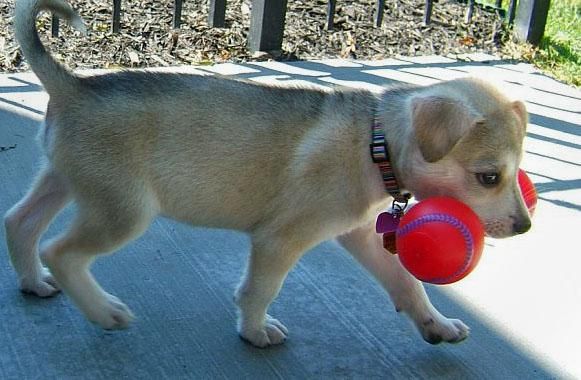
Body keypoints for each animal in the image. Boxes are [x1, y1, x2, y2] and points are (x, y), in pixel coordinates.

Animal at [5, 0, 532, 348]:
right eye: (489, 177)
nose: (526, 227)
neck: (375, 141)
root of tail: (73, 86)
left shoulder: (360, 236)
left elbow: (408, 284)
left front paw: (436, 325)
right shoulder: (279, 241)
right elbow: (260, 289)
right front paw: (255, 331)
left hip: (64, 182)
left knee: (20, 223)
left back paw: (33, 282)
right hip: (122, 212)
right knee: (61, 251)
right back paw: (104, 312)